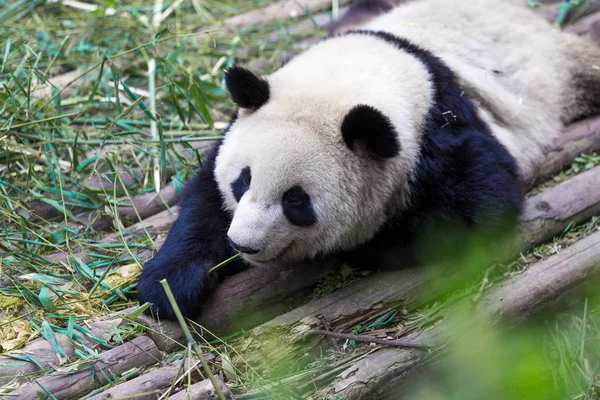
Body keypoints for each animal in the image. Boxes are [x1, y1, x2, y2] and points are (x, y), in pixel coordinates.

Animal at [138, 0, 600, 318]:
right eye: (244, 180)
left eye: (296, 200)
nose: (242, 244)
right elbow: (202, 201)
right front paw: (169, 287)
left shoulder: (443, 131)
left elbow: (479, 207)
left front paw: (363, 244)